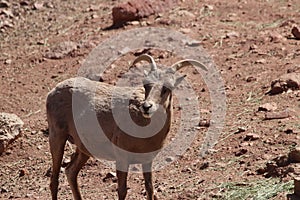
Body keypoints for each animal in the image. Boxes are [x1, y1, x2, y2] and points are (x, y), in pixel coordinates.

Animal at [45, 54, 207, 199]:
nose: (147, 107)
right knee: (54, 181)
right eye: (146, 85)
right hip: (57, 138)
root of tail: (53, 91)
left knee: (70, 171)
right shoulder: (122, 159)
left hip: (83, 150)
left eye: (167, 88)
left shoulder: (147, 161)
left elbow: (150, 189)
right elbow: (122, 191)